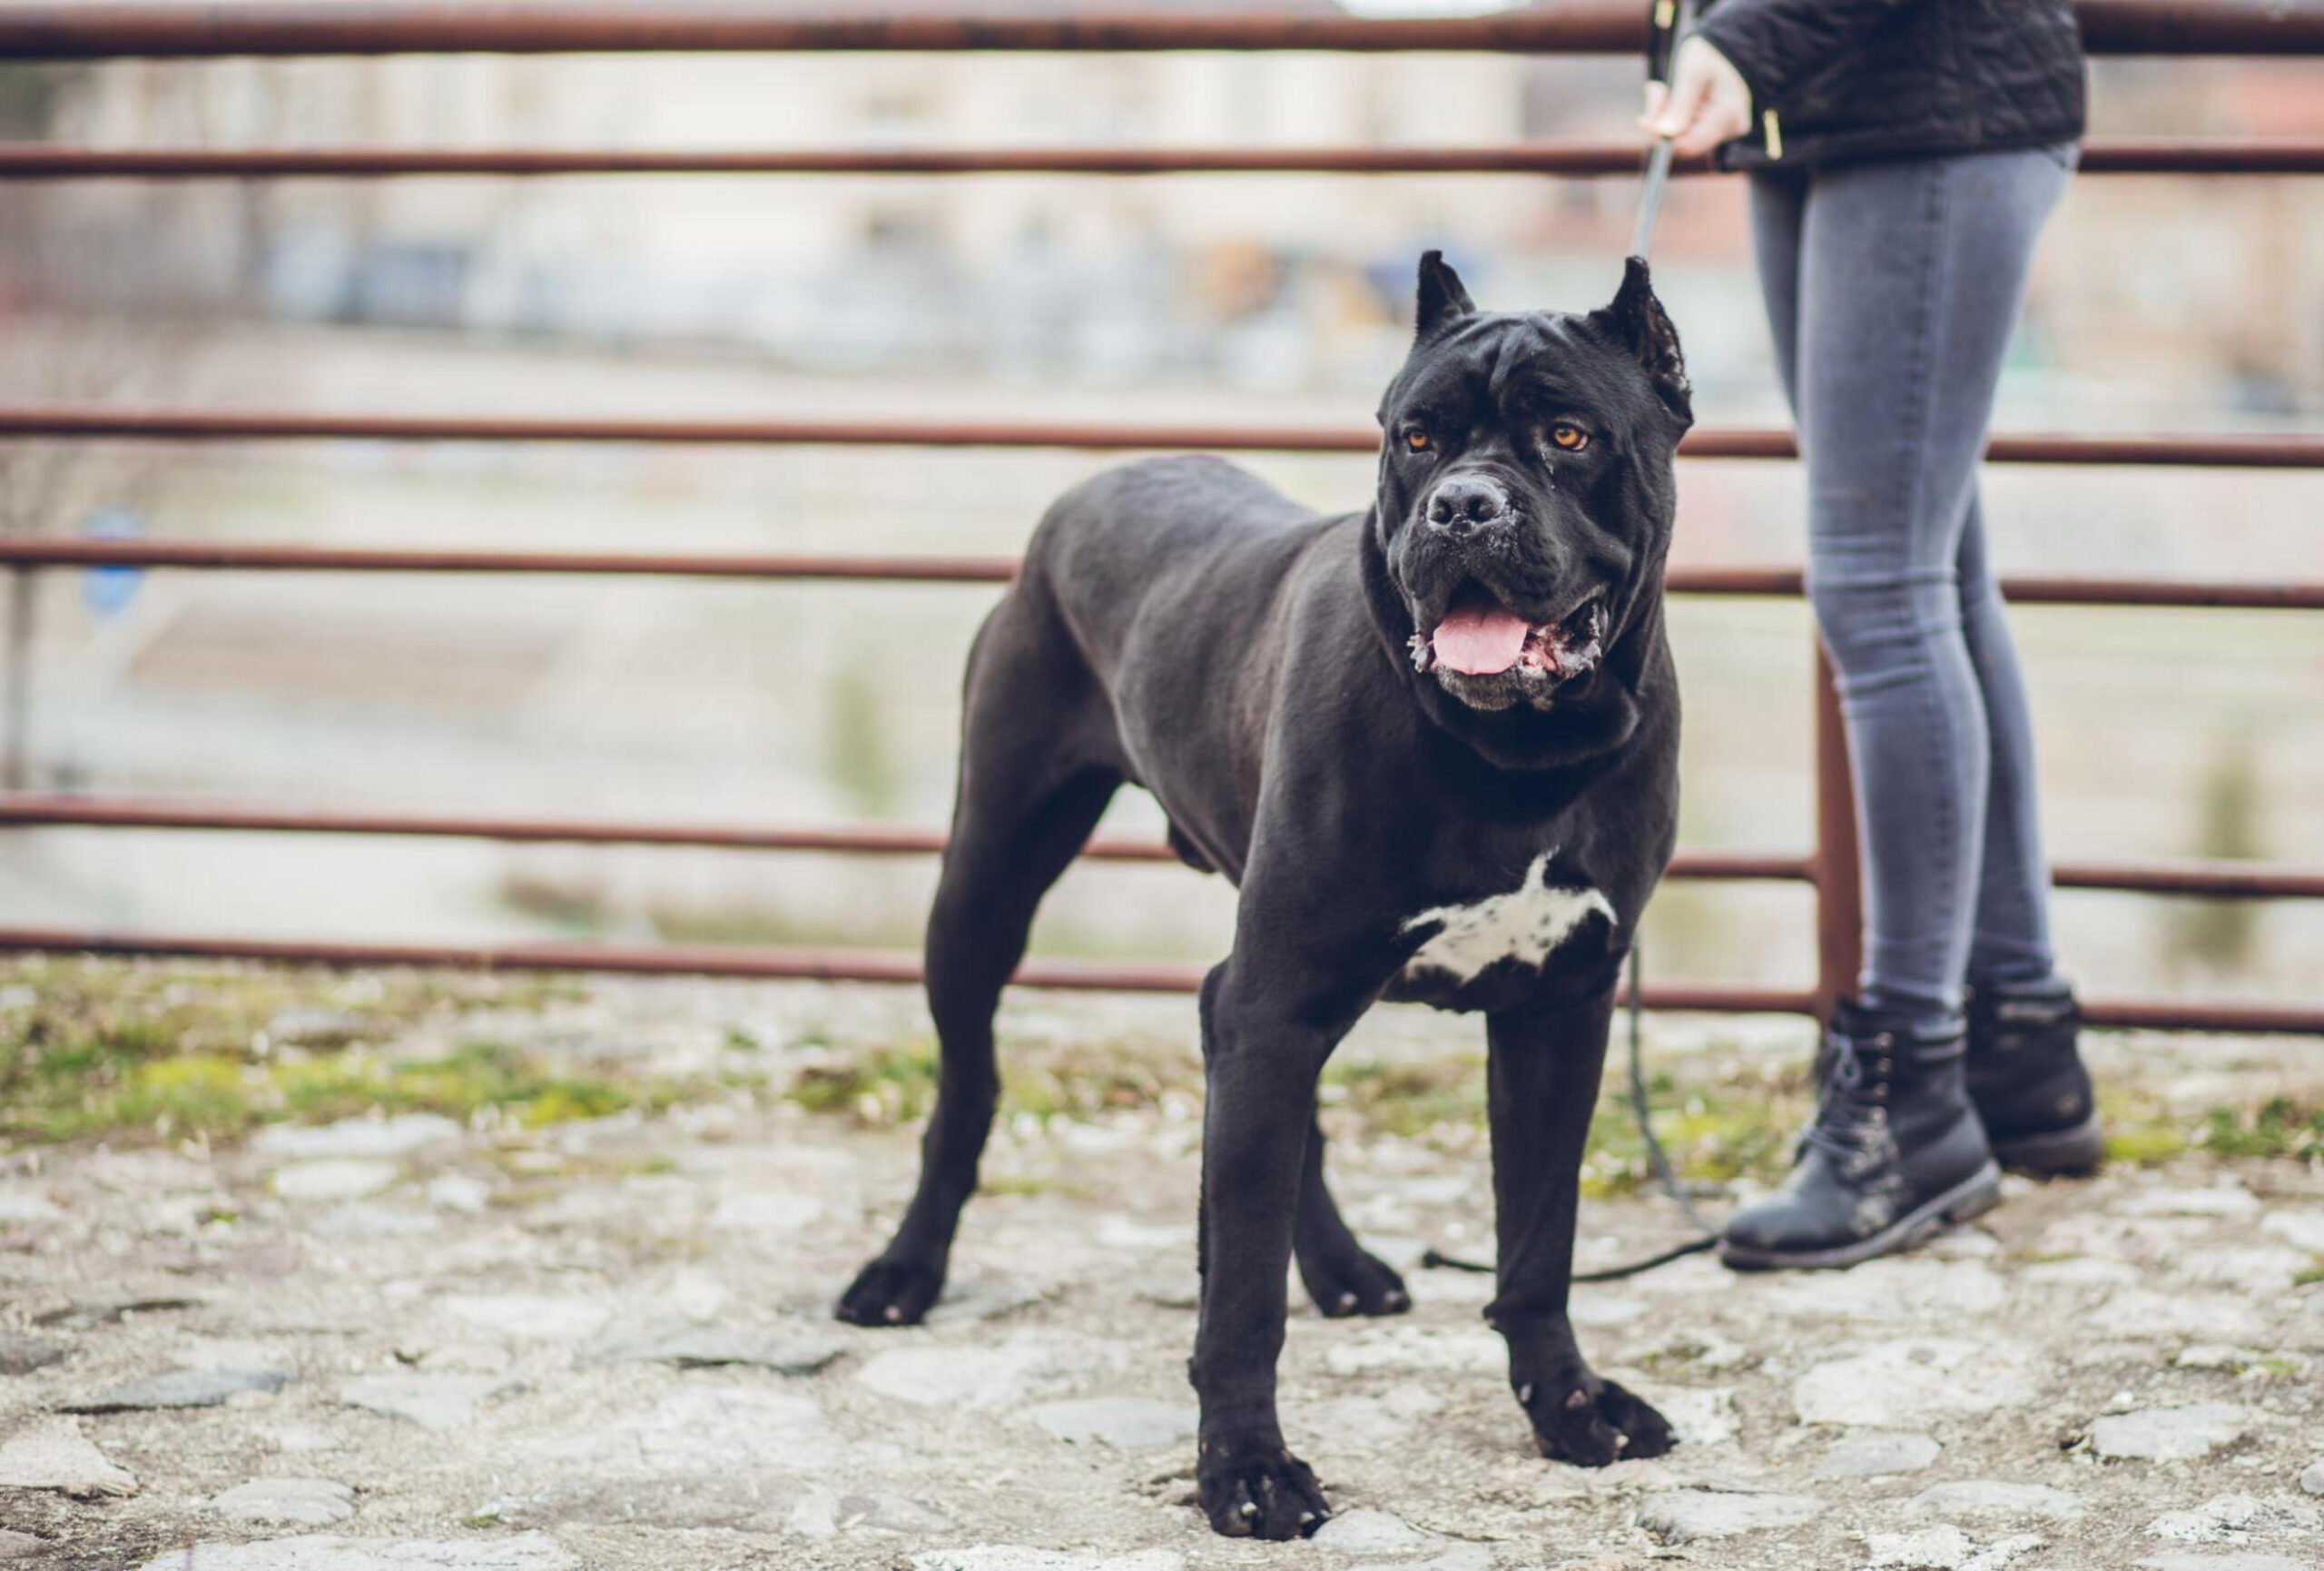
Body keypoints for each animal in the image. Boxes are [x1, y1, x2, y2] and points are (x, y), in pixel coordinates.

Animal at [836, 252, 1691, 1543]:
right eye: (1417, 437)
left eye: (1568, 433)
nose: (1462, 508)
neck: (1517, 757)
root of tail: (1096, 483)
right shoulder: (1280, 995)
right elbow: (1239, 1292)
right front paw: (1244, 1467)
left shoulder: (1556, 1006)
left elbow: (1538, 1239)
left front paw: (1568, 1403)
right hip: (987, 883)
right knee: (969, 1088)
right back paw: (904, 1270)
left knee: (1254, 1074)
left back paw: (1340, 1269)